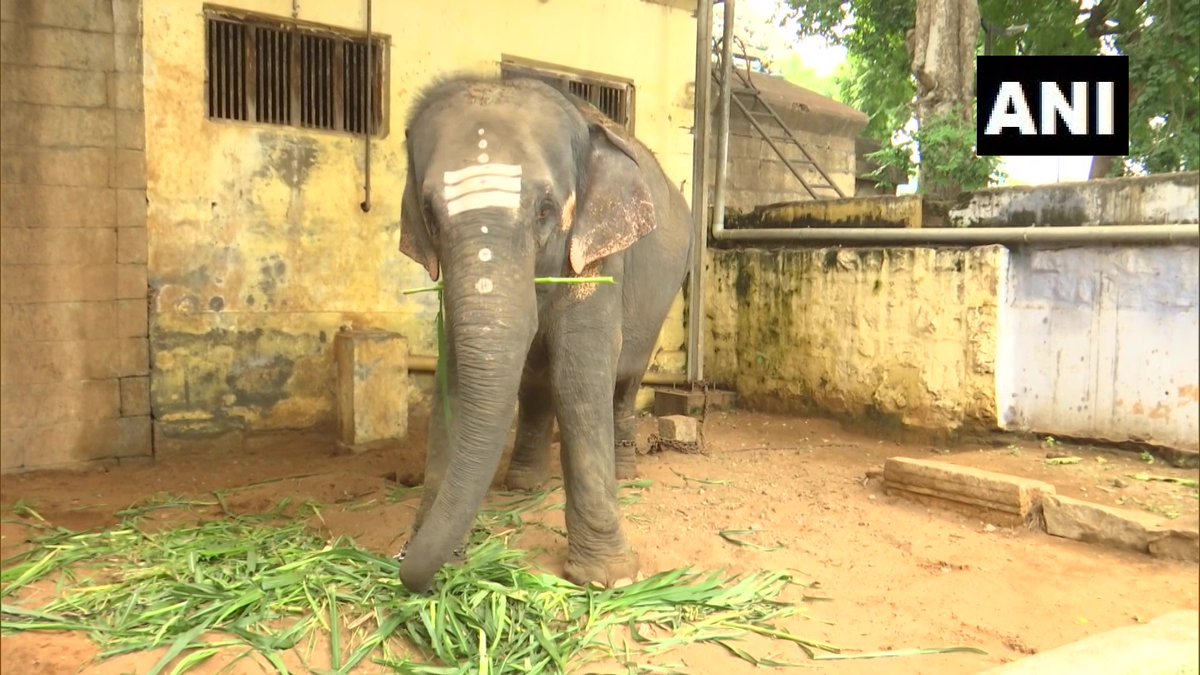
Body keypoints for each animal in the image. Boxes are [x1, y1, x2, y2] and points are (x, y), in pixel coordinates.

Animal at [393, 73, 696, 588]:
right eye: (430, 214)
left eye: (544, 210)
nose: (403, 570)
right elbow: (454, 376)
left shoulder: (599, 252)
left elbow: (579, 373)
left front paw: (610, 578)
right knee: (535, 384)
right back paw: (522, 485)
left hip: (665, 294)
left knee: (625, 380)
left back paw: (626, 473)